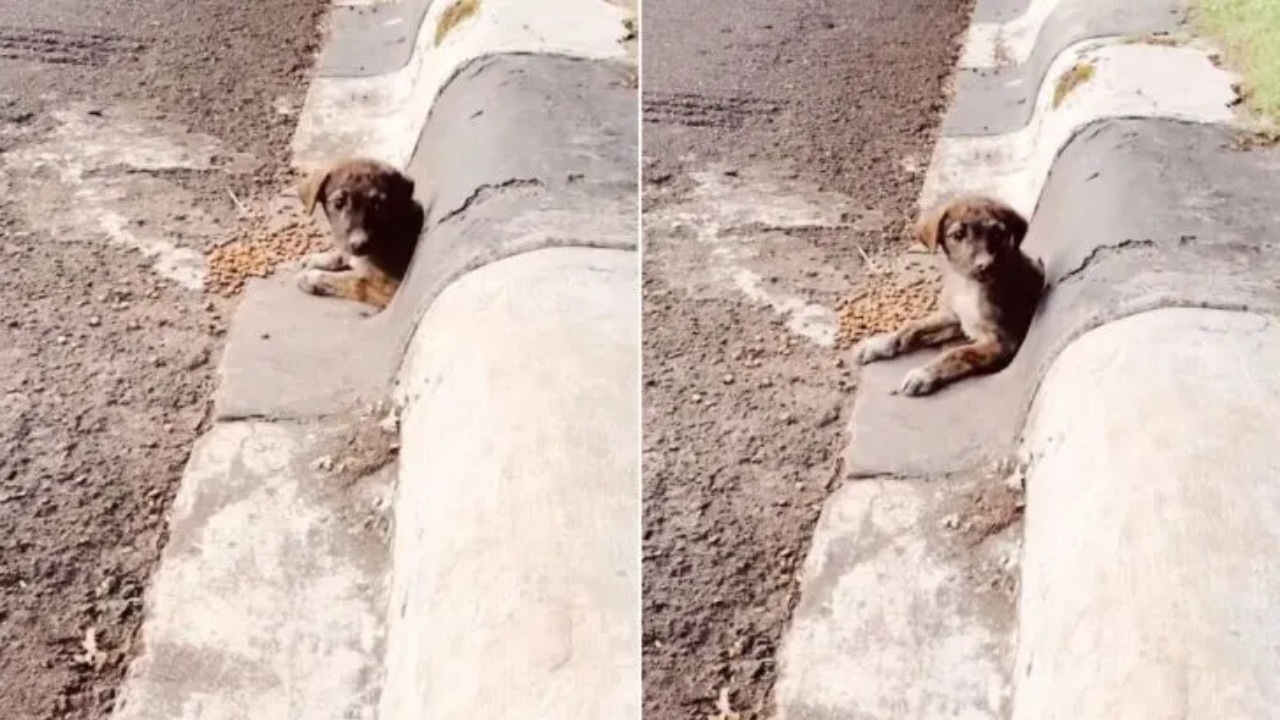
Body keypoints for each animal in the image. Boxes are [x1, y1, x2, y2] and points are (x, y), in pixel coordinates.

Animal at [295, 156, 424, 308]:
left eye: (377, 205)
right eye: (339, 203)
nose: (359, 244)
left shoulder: (389, 288)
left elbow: (353, 281)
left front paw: (312, 277)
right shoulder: (348, 246)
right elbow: (340, 255)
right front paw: (315, 259)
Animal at [849, 193, 1039, 394]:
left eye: (997, 234)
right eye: (958, 235)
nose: (986, 265)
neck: (968, 286)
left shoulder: (1003, 342)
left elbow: (959, 353)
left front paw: (924, 374)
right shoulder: (954, 316)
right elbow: (913, 326)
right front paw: (879, 344)